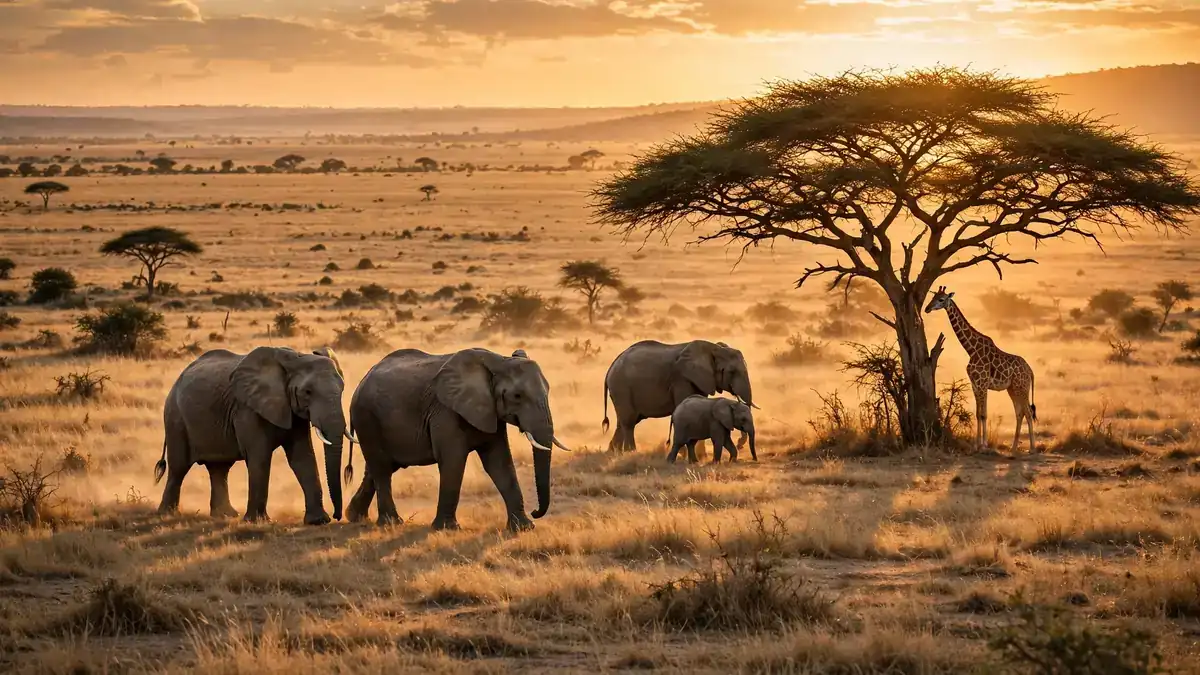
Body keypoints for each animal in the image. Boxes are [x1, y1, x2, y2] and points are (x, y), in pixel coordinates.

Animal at [154, 346, 354, 524]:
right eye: (307, 392)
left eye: (342, 389)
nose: (337, 516)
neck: (295, 358)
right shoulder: (247, 409)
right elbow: (260, 456)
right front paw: (258, 522)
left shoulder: (292, 410)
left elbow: (302, 457)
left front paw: (318, 521)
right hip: (175, 417)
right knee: (179, 467)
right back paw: (167, 515)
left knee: (219, 468)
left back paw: (225, 515)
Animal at [344, 347, 570, 531]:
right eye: (517, 396)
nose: (535, 512)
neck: (499, 361)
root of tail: (361, 381)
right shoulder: (445, 412)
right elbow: (453, 462)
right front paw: (447, 529)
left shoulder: (490, 412)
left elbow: (500, 463)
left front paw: (523, 528)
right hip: (366, 418)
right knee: (381, 468)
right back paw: (391, 523)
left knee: (380, 467)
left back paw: (355, 517)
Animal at [602, 340, 754, 452]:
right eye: (732, 372)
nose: (740, 444)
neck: (714, 349)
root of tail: (610, 368)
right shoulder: (682, 379)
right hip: (621, 387)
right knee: (629, 421)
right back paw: (630, 452)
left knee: (624, 421)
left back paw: (613, 453)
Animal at [924, 286, 1037, 452]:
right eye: (933, 297)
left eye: (941, 299)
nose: (927, 308)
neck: (971, 349)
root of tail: (1030, 371)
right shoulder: (975, 385)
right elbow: (978, 414)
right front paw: (977, 445)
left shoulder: (983, 383)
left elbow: (984, 414)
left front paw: (984, 445)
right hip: (1012, 389)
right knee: (1020, 412)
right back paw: (1013, 447)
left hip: (1022, 387)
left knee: (1028, 412)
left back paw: (1032, 448)